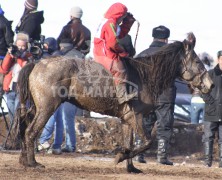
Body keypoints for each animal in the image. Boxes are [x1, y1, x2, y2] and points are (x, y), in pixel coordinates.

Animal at [12, 34, 213, 173]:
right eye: (197, 61)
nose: (210, 85)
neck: (144, 76)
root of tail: (38, 63)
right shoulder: (135, 116)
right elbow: (147, 141)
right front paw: (120, 157)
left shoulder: (127, 118)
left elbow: (129, 142)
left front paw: (130, 167)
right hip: (46, 108)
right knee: (31, 131)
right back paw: (32, 163)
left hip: (35, 107)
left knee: (24, 126)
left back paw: (23, 160)